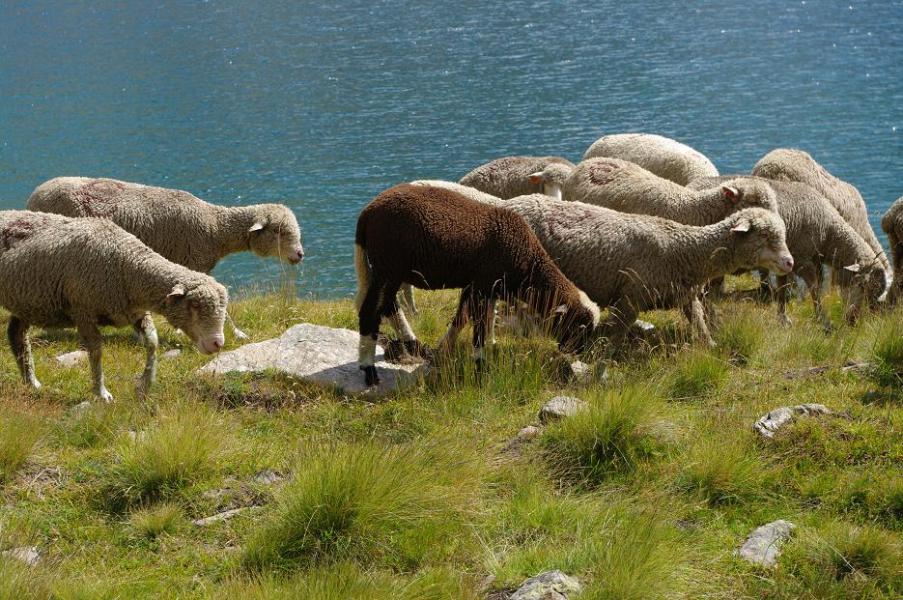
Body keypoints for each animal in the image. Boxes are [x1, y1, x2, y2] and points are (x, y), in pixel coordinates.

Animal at [0, 210, 228, 401]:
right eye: (195, 305)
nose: (217, 343)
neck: (127, 265)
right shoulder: (83, 311)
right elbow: (96, 352)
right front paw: (101, 393)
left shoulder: (135, 312)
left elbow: (152, 342)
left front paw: (145, 383)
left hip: (26, 302)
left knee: (17, 335)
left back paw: (32, 383)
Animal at [27, 177, 303, 338]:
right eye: (278, 231)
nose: (300, 254)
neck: (214, 228)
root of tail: (35, 195)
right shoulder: (193, 263)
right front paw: (236, 333)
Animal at [354, 183, 600, 387]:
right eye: (577, 326)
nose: (577, 353)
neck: (527, 265)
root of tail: (367, 213)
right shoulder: (483, 285)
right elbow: (479, 326)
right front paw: (481, 367)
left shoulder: (481, 286)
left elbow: (464, 318)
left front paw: (445, 351)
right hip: (388, 266)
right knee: (371, 311)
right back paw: (369, 369)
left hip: (388, 271)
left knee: (388, 306)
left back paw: (414, 345)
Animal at [411, 182, 793, 350]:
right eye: (765, 237)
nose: (789, 262)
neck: (684, 249)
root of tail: (506, 205)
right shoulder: (630, 298)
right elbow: (615, 333)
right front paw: (604, 357)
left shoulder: (684, 295)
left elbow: (698, 323)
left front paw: (710, 346)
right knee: (468, 311)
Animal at [689, 176, 886, 328]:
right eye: (863, 286)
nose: (854, 321)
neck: (828, 233)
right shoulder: (800, 259)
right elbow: (813, 288)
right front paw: (822, 320)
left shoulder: (795, 261)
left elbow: (787, 289)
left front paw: (784, 318)